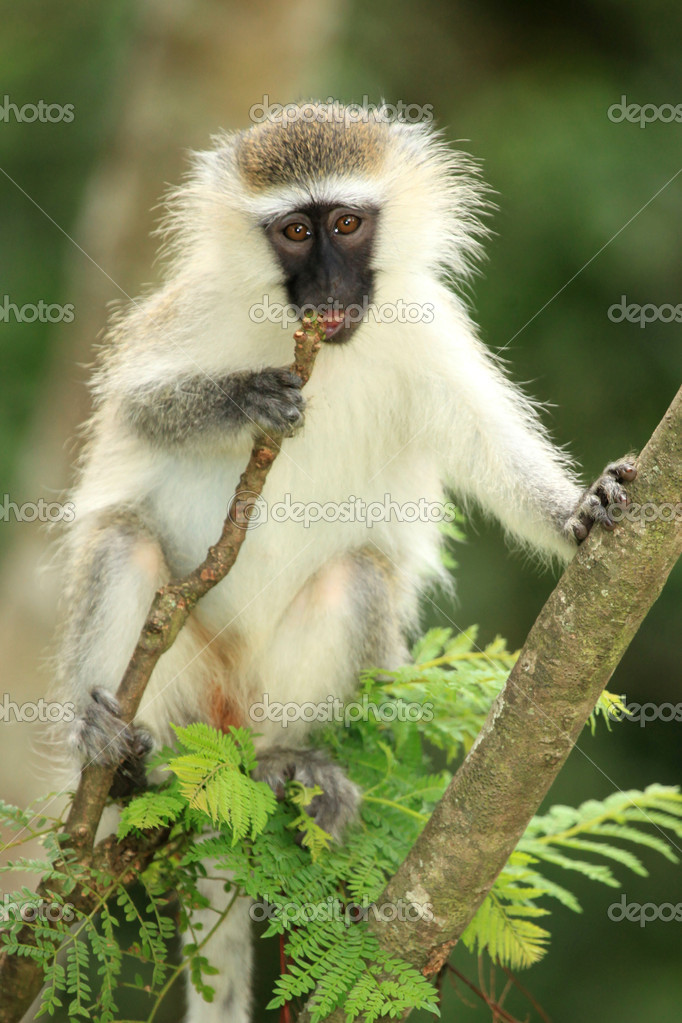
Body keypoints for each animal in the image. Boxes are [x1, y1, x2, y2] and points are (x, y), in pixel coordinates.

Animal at [54, 102, 636, 1022]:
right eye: (296, 231)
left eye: (349, 224)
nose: (328, 287)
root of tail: (220, 744)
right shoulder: (191, 315)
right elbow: (137, 406)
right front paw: (243, 397)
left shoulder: (429, 332)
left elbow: (492, 451)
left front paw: (578, 511)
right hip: (180, 675)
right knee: (123, 542)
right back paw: (117, 759)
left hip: (266, 688)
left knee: (352, 576)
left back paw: (290, 760)